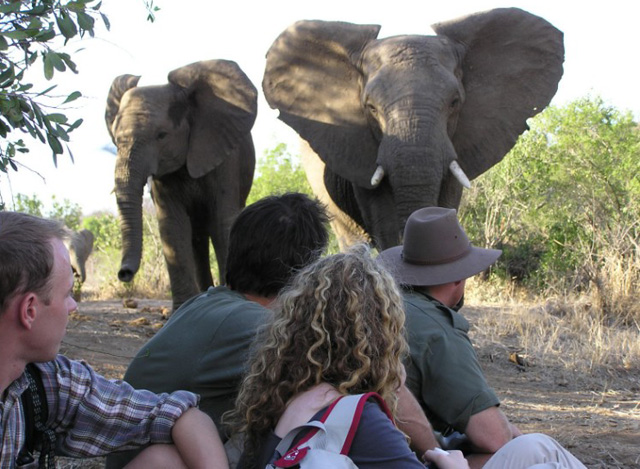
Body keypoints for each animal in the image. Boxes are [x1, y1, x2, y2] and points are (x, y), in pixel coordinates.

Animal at [104, 59, 256, 310]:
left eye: (162, 135)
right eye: (115, 139)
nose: (124, 273)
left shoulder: (224, 157)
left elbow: (223, 221)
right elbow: (172, 225)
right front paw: (182, 309)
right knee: (197, 239)